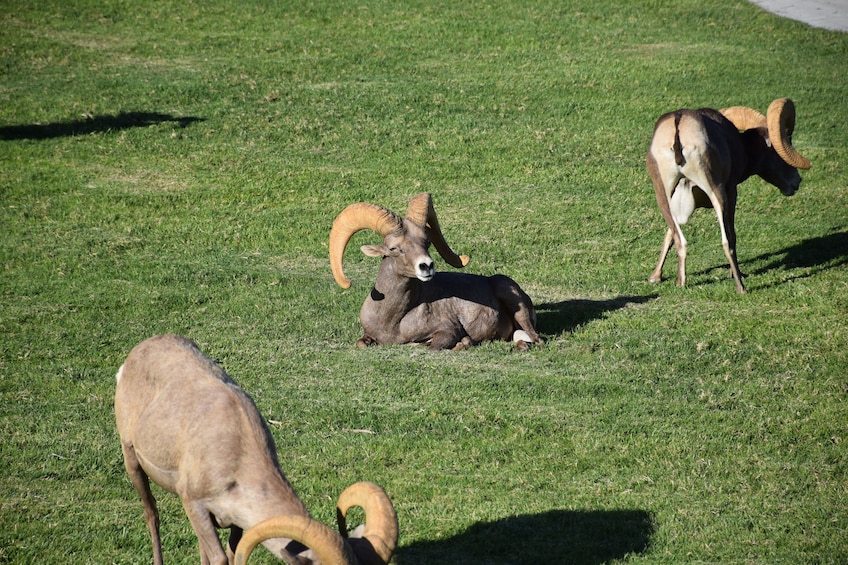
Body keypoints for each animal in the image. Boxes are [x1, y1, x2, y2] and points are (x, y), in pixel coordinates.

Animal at [113, 334, 400, 564]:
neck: (237, 459)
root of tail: (132, 358)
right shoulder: (194, 504)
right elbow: (220, 558)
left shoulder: (234, 522)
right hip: (132, 460)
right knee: (152, 515)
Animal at [328, 192, 540, 348]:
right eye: (394, 248)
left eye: (426, 242)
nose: (427, 266)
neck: (392, 321)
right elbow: (360, 343)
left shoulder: (446, 331)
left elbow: (433, 346)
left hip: (513, 299)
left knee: (535, 339)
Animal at [644, 97, 812, 294]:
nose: (797, 181)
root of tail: (678, 124)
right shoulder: (731, 192)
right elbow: (732, 235)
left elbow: (669, 235)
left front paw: (655, 277)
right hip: (717, 193)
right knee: (726, 240)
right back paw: (740, 287)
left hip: (662, 195)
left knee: (679, 240)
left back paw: (681, 283)